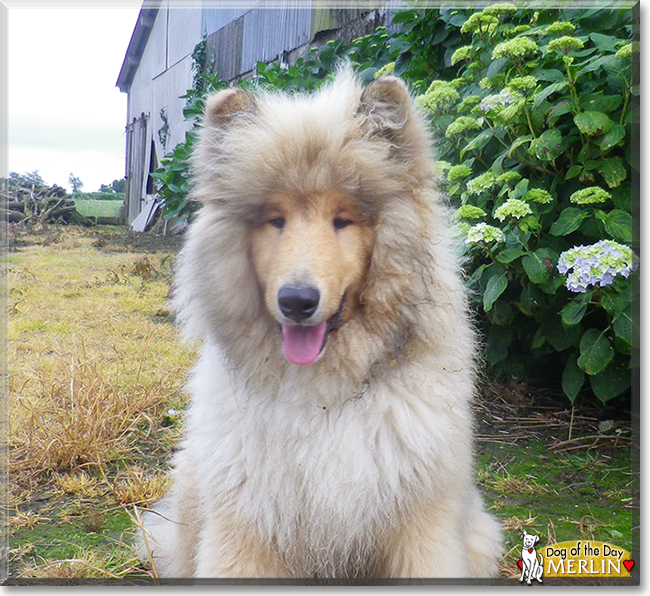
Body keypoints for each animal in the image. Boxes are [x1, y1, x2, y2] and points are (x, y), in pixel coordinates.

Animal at [139, 67, 498, 580]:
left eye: (342, 220)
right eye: (275, 219)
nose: (297, 301)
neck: (325, 396)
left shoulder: (421, 525)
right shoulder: (245, 527)